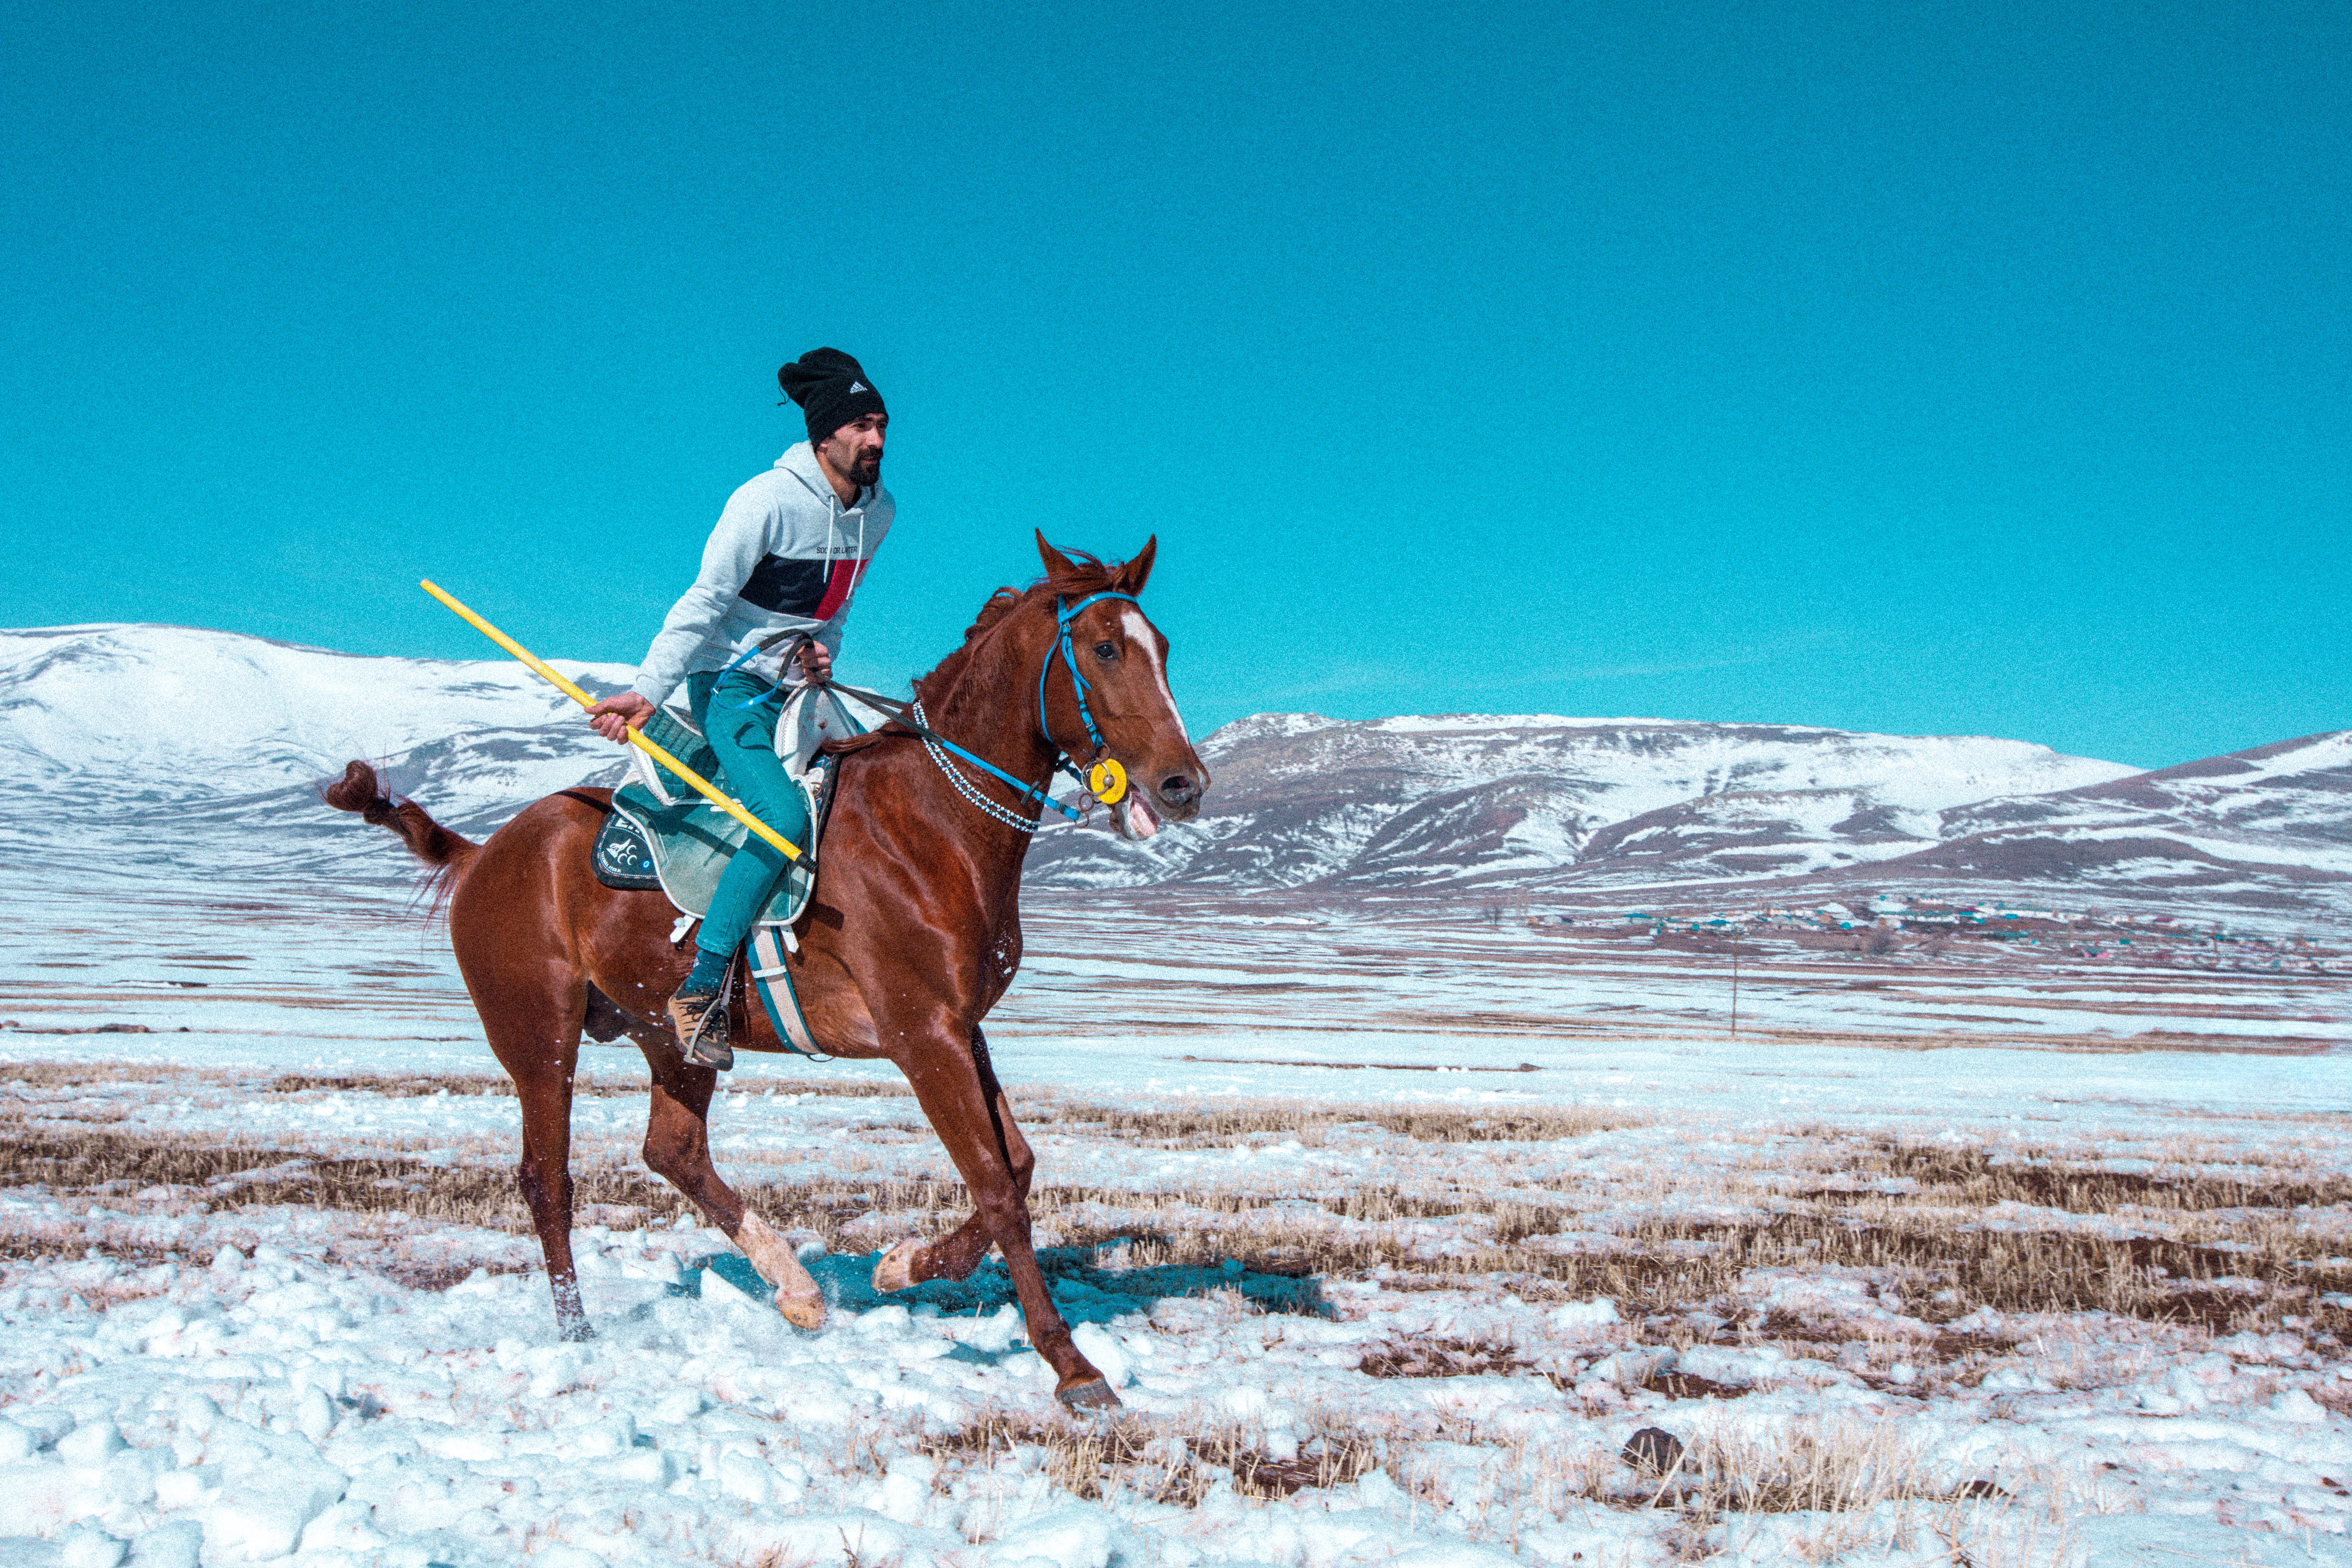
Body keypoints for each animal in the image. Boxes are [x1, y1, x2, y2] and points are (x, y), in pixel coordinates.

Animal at [326, 534, 1207, 1409]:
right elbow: (995, 1184)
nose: (1184, 784)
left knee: (673, 1151)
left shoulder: (962, 1026)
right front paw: (1072, 1364)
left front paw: (904, 1266)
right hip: (537, 1033)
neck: (931, 824)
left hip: (666, 1032)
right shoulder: (922, 1033)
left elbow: (1019, 1166)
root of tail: (484, 853)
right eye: (1103, 648)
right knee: (548, 1179)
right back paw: (579, 1332)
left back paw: (797, 1289)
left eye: (1163, 648)